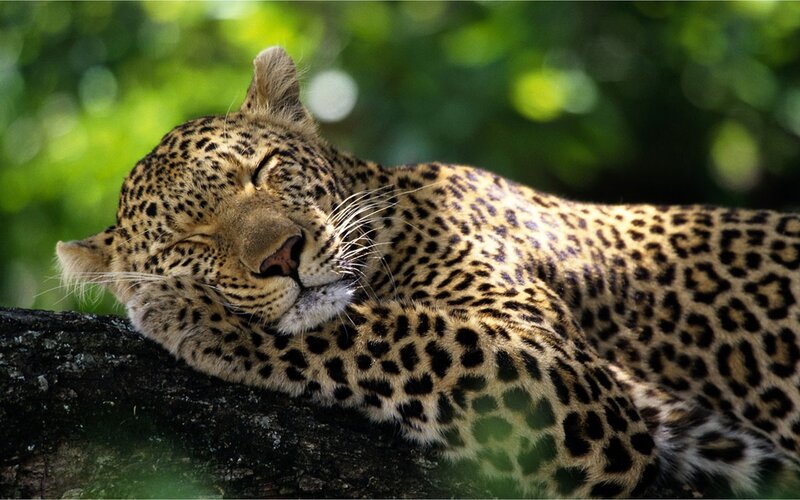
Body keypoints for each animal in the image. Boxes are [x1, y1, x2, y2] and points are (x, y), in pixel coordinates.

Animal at [56, 47, 800, 497]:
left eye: (263, 171)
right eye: (193, 237)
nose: (281, 257)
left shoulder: (564, 380)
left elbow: (390, 333)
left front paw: (187, 312)